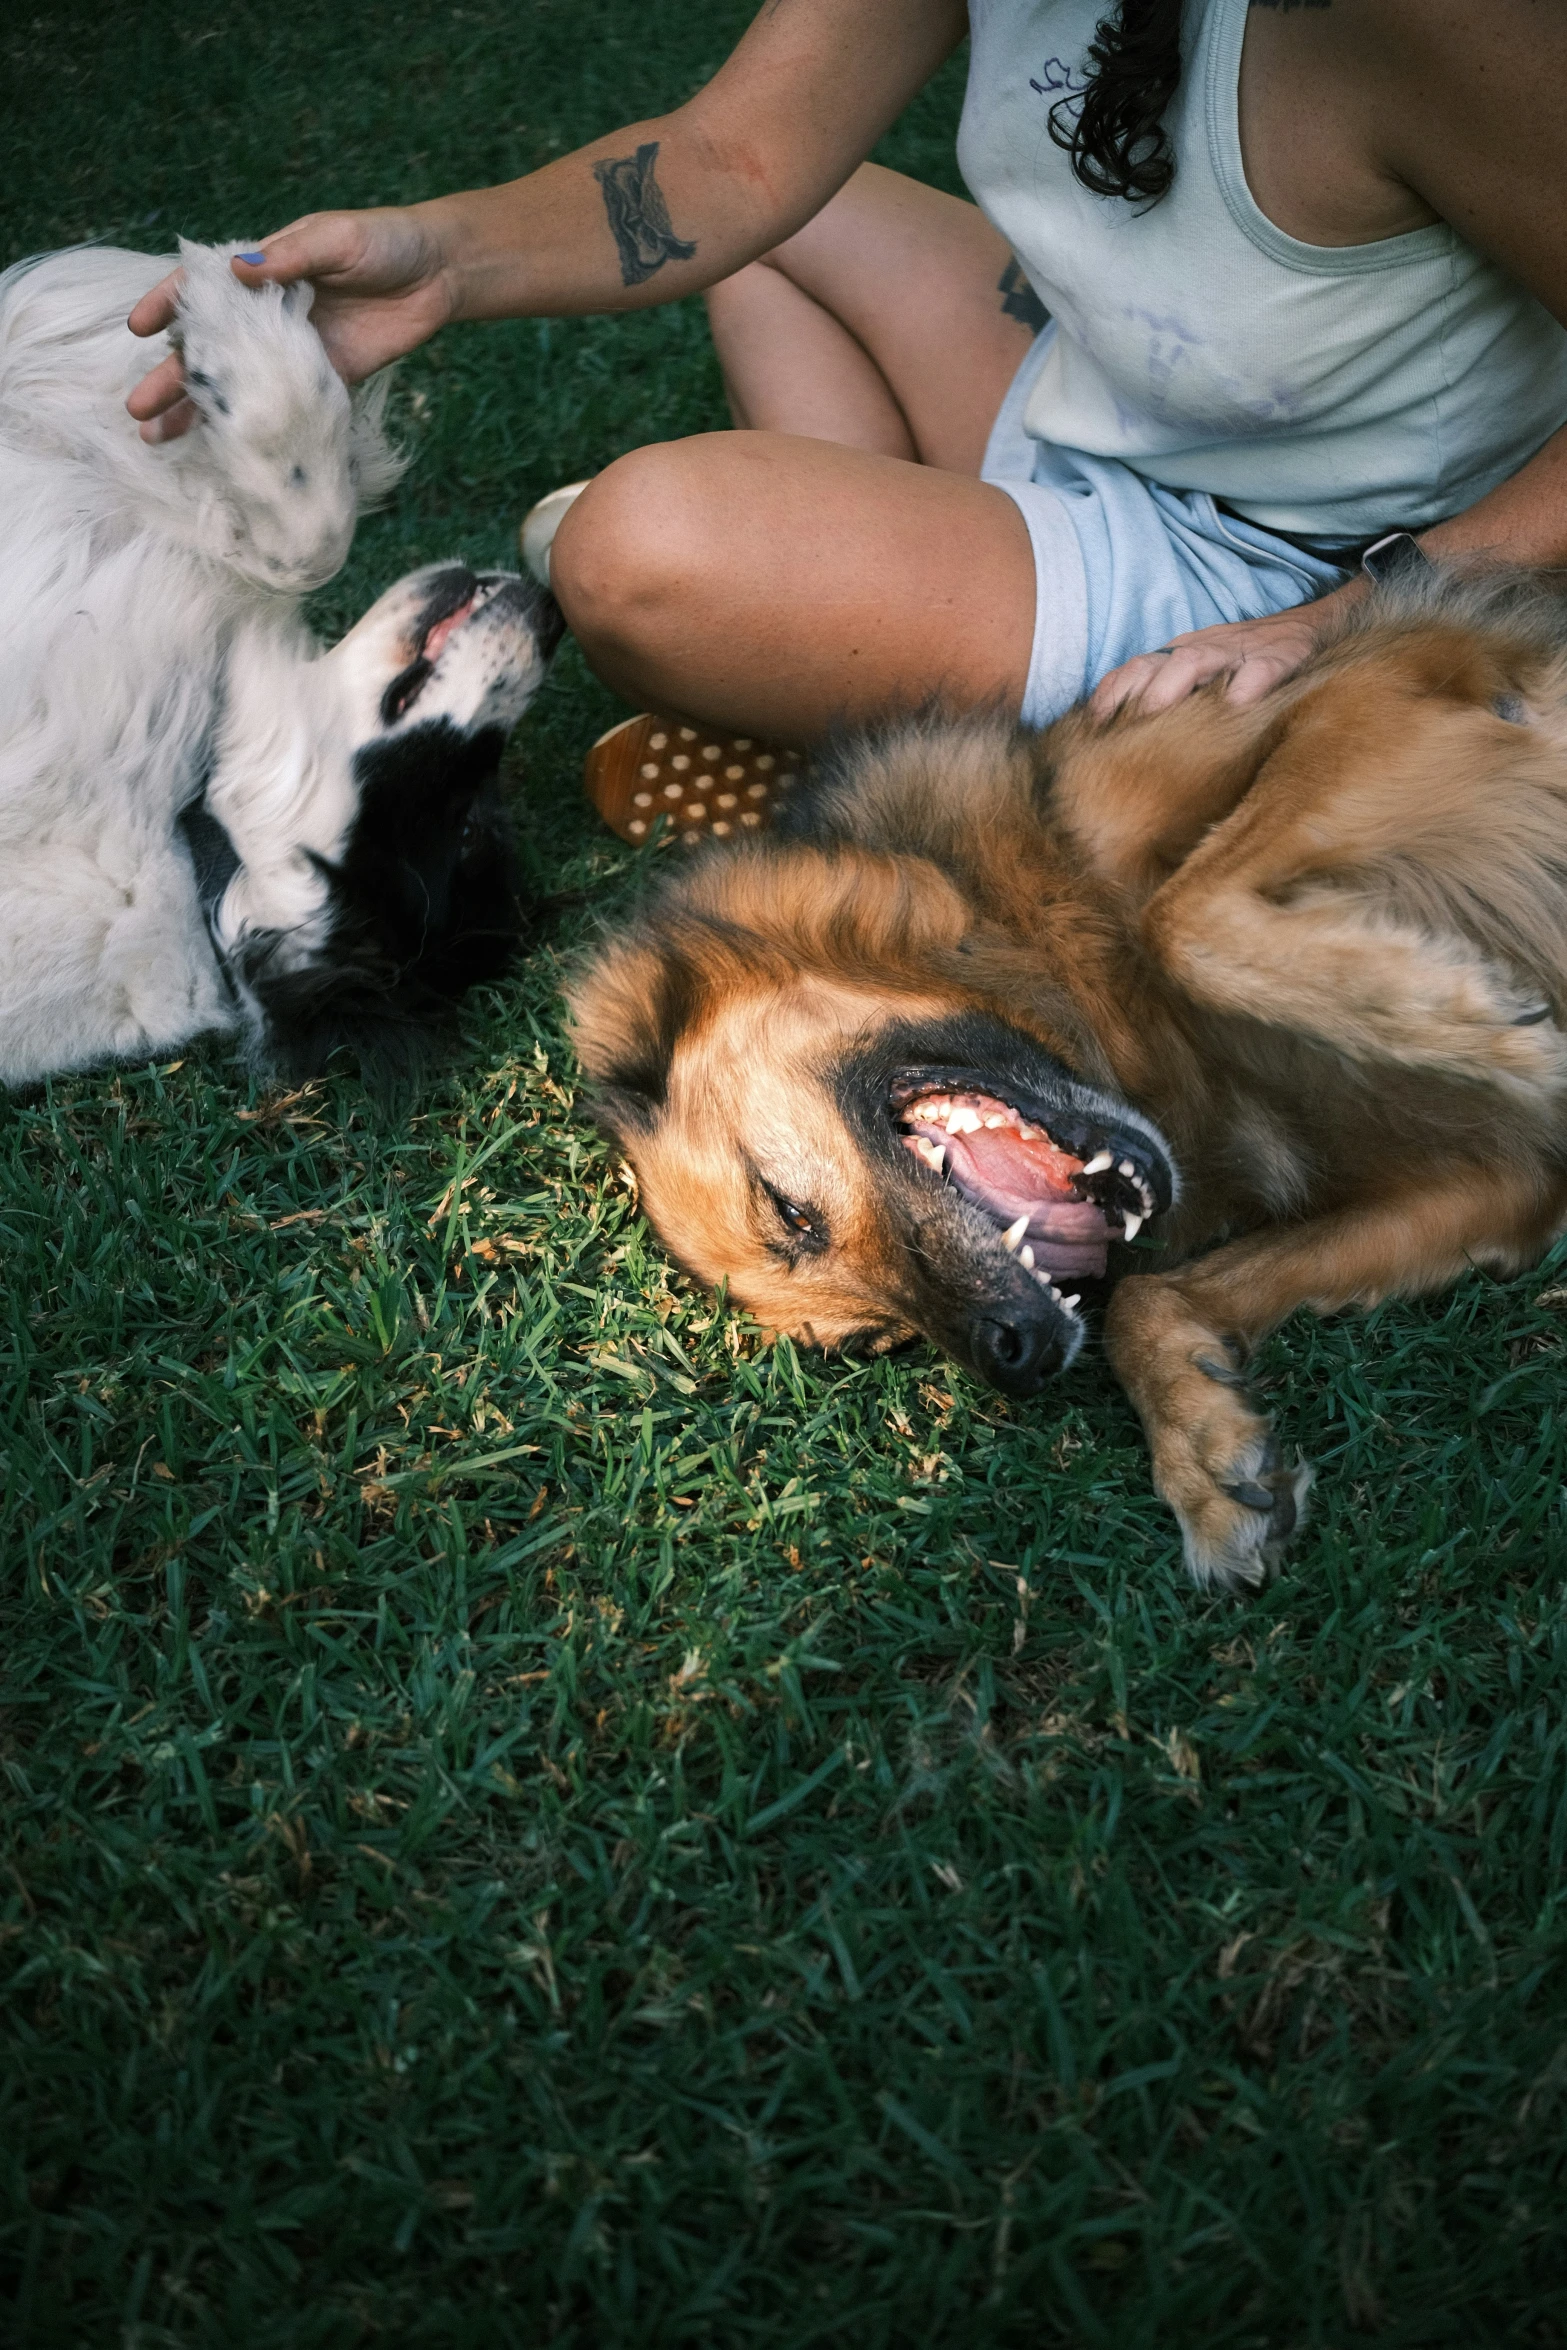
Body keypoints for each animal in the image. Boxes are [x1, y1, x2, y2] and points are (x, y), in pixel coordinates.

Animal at [570, 575, 1567, 1588]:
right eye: (875, 1339)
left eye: (788, 1210)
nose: (1014, 1356)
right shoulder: (1490, 1185)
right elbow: (1144, 1301)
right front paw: (1205, 1450)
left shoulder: (1379, 684)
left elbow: (1183, 915)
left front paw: (1481, 1025)